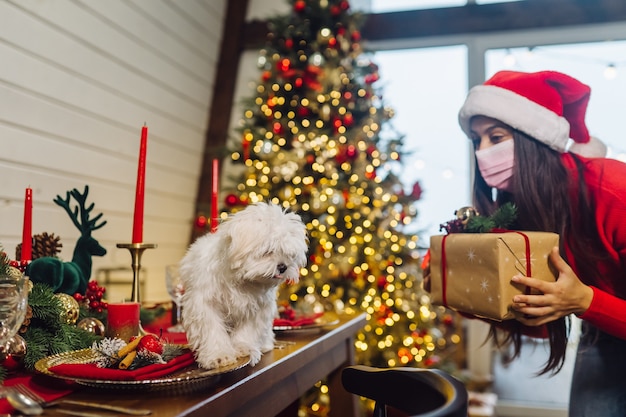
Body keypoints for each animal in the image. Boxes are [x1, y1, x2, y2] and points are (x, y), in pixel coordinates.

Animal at [179, 202, 306, 368]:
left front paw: (243, 348)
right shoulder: (204, 304)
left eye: (289, 255)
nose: (283, 267)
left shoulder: (257, 308)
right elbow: (212, 330)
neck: (243, 280)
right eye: (268, 251)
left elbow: (247, 331)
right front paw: (219, 355)